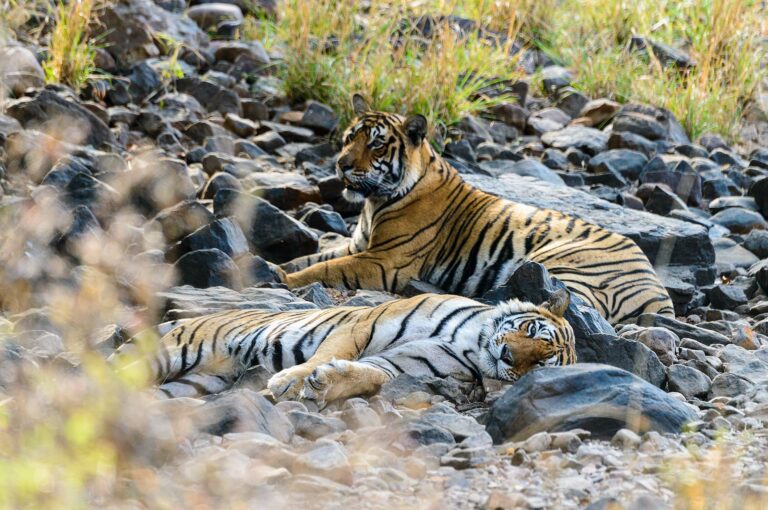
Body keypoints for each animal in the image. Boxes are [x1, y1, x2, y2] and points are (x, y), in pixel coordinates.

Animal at [280, 95, 676, 324]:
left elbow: (323, 269)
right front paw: (275, 265)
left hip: (562, 266)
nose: (342, 164)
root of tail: (656, 287)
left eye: (376, 145)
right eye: (351, 137)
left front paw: (281, 279)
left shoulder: (382, 261)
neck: (374, 203)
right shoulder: (357, 246)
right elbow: (309, 259)